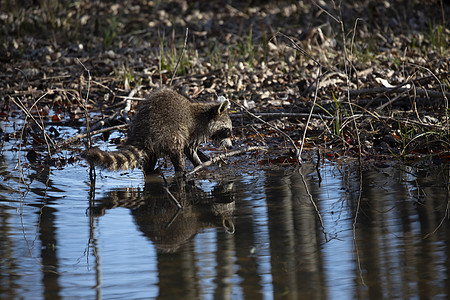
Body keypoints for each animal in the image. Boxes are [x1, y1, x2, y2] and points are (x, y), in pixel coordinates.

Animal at [82, 88, 234, 173]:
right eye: (228, 131)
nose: (231, 146)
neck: (207, 114)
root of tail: (142, 130)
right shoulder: (196, 130)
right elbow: (189, 149)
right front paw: (201, 164)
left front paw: (206, 158)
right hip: (168, 131)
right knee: (177, 151)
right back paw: (181, 172)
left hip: (153, 142)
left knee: (150, 160)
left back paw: (149, 172)